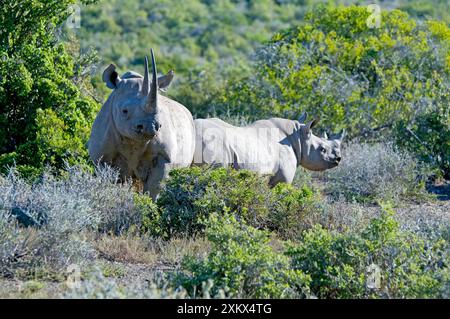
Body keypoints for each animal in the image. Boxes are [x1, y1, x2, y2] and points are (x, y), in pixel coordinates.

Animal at [88, 49, 195, 199]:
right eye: (124, 111)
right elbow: (110, 182)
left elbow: (154, 188)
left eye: (160, 110)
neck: (133, 142)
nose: (149, 127)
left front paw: (148, 203)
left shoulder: (164, 156)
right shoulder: (101, 156)